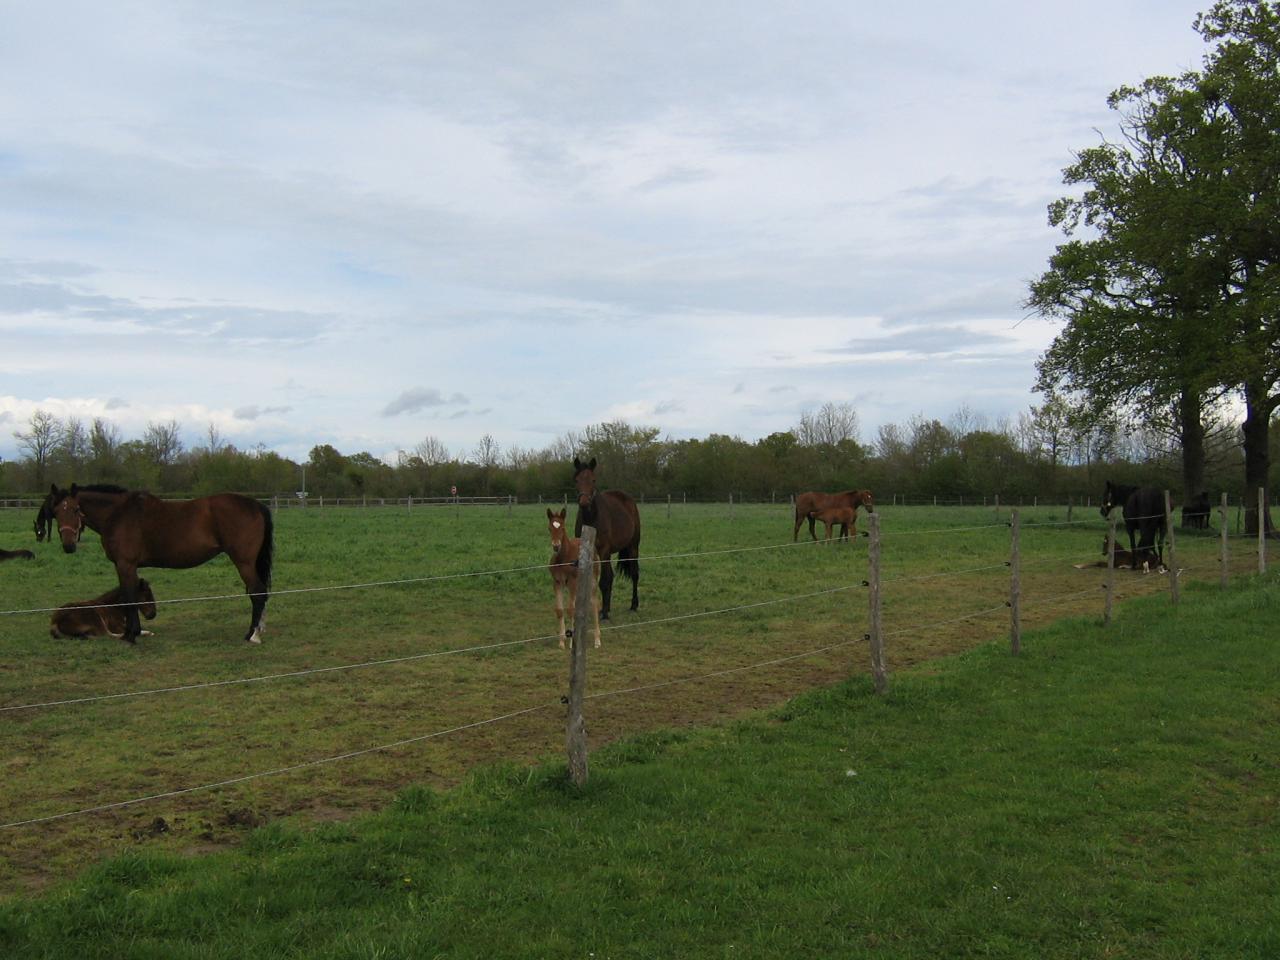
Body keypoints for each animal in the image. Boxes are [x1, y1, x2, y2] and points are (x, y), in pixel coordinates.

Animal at [51, 481, 272, 647]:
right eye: (55, 511)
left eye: (76, 509)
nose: (68, 545)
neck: (118, 514)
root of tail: (255, 504)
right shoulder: (125, 566)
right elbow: (129, 595)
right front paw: (133, 632)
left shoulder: (126, 564)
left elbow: (130, 597)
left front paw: (130, 636)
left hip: (244, 562)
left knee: (257, 592)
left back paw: (252, 635)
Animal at [542, 506, 596, 650]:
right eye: (549, 528)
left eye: (563, 527)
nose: (556, 546)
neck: (563, 558)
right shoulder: (557, 582)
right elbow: (560, 610)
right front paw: (561, 642)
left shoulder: (572, 582)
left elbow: (571, 610)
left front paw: (572, 642)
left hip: (592, 581)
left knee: (595, 604)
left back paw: (597, 640)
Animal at [570, 458, 640, 624]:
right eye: (576, 480)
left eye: (593, 480)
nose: (584, 502)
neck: (591, 520)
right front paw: (601, 610)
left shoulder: (603, 551)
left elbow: (603, 581)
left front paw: (604, 614)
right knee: (612, 577)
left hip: (633, 547)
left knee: (634, 574)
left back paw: (633, 605)